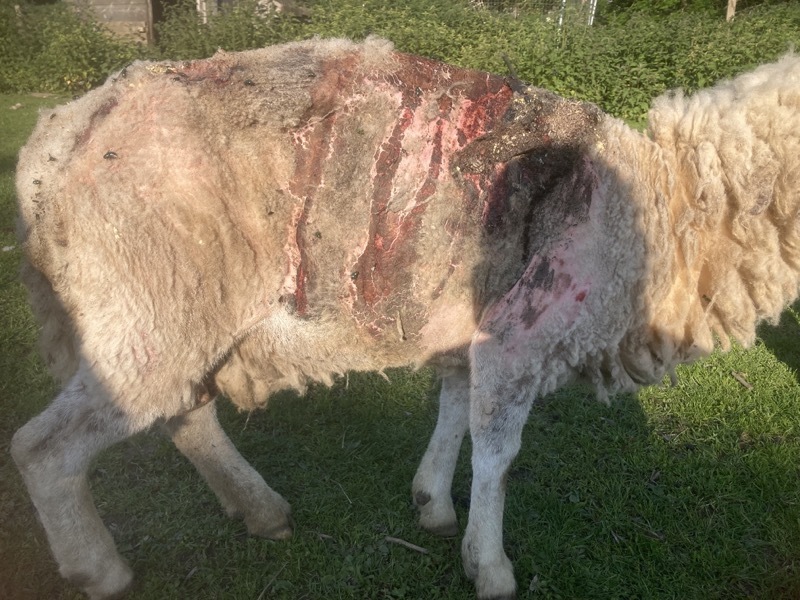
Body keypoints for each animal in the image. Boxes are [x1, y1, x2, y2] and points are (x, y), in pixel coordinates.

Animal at [10, 36, 800, 600]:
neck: (675, 201)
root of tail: (53, 140)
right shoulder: (521, 335)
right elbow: (498, 452)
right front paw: (490, 567)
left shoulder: (470, 328)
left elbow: (453, 412)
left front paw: (432, 504)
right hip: (152, 297)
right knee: (46, 449)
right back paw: (101, 571)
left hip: (179, 308)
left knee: (185, 415)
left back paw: (260, 509)